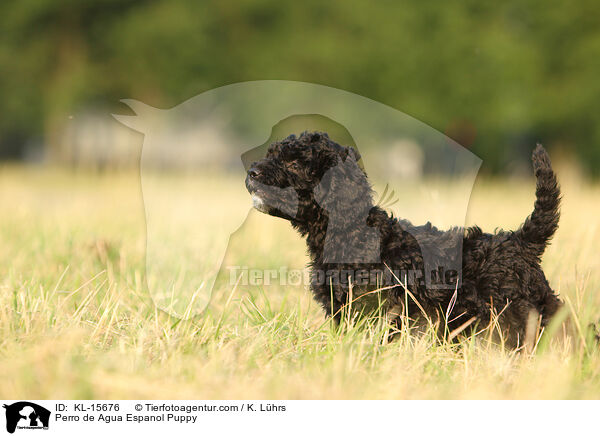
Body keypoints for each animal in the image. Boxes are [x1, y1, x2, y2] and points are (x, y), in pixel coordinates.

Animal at [245, 131, 564, 346]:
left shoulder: (375, 309)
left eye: (295, 164)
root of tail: (519, 241)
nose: (251, 171)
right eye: (272, 154)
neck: (352, 232)